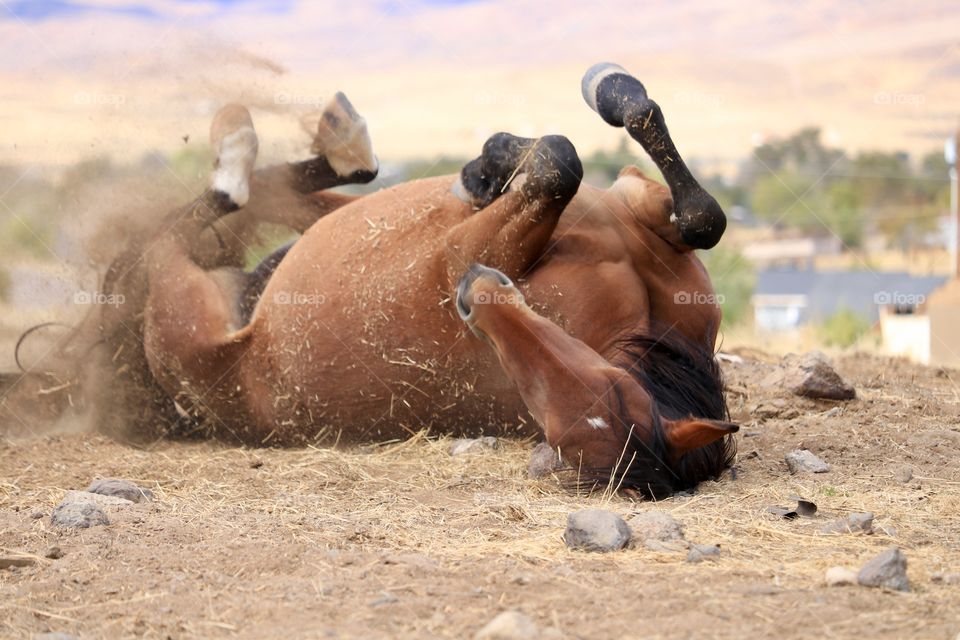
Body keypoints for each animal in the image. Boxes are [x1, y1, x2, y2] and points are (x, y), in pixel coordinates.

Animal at [105, 63, 740, 496]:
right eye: (614, 384)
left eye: (561, 429)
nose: (476, 295)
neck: (636, 319)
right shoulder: (638, 210)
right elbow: (697, 212)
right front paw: (500, 158)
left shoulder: (465, 249)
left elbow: (561, 163)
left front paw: (495, 162)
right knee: (270, 196)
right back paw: (340, 141)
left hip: (181, 298)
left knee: (191, 223)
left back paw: (251, 152)